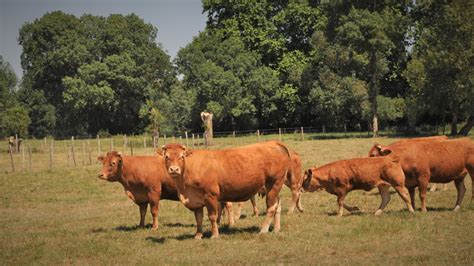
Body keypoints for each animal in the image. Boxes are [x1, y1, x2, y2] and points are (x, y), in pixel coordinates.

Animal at [159, 141, 292, 239]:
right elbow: (198, 218)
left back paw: (263, 230)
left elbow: (212, 216)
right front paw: (198, 235)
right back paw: (276, 229)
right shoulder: (195, 199)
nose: (174, 169)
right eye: (166, 157)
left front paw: (214, 235)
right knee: (278, 205)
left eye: (181, 156)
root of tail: (274, 142)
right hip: (274, 187)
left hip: (274, 184)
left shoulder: (210, 195)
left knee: (271, 207)